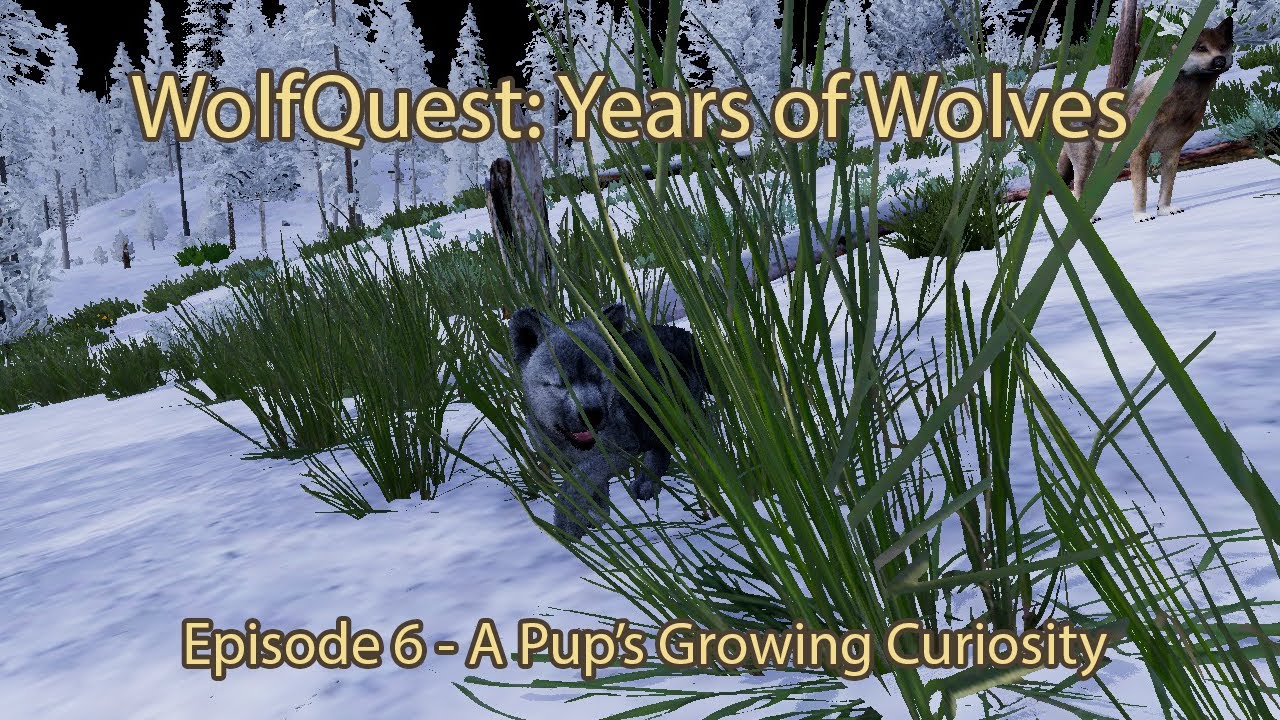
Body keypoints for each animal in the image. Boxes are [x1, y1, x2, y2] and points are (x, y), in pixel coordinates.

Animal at [509, 304, 709, 539]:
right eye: (561, 383)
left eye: (600, 378)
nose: (593, 414)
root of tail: (681, 331)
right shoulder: (562, 461)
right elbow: (593, 488)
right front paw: (595, 519)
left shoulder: (622, 450)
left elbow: (578, 480)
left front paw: (567, 525)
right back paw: (647, 484)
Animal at [1058, 16, 1234, 223]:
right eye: (1201, 48)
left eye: (1222, 46)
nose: (1220, 59)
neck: (1180, 101)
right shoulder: (1139, 152)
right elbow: (1141, 189)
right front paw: (1141, 216)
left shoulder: (1173, 151)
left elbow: (1167, 187)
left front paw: (1165, 210)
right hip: (1085, 163)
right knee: (1077, 188)